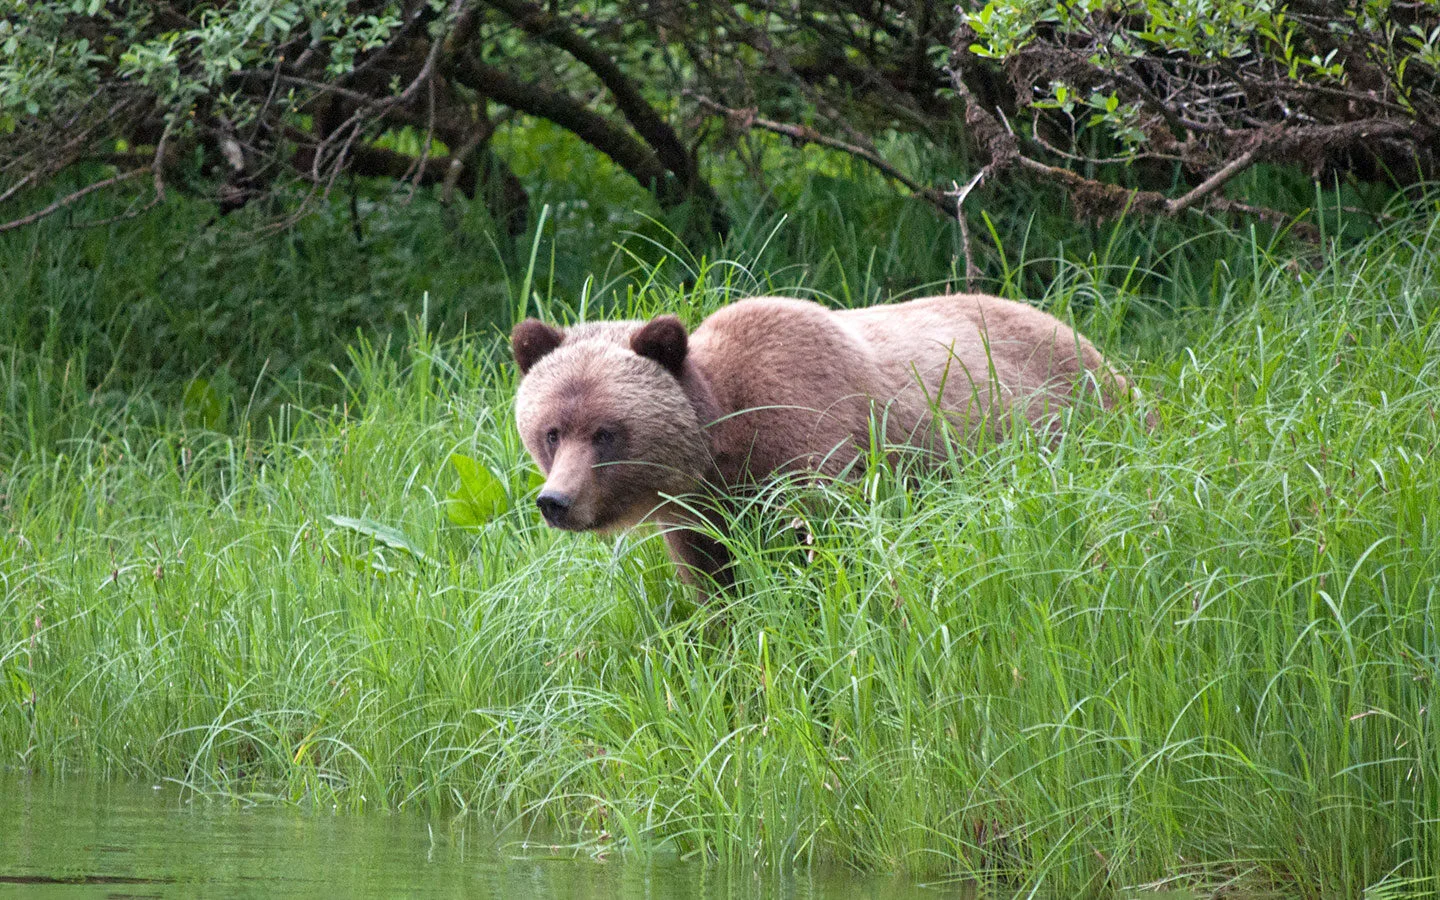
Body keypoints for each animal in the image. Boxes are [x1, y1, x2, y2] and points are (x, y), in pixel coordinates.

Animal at [512, 290, 1128, 593]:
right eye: (550, 432)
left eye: (606, 432)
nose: (555, 501)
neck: (724, 449)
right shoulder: (699, 519)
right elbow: (715, 592)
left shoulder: (811, 444)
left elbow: (832, 552)